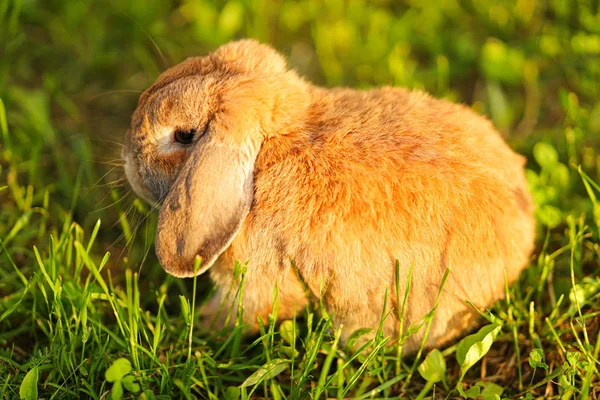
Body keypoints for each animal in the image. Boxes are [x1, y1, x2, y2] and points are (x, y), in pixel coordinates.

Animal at [124, 39, 536, 354]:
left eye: (184, 136)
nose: (128, 159)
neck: (272, 147)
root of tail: (523, 240)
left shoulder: (258, 280)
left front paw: (207, 326)